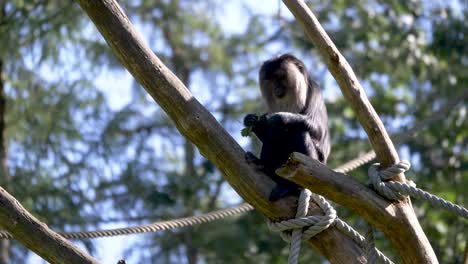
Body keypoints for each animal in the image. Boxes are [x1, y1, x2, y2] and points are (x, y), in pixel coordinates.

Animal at [245, 54, 330, 202]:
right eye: (272, 80)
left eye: (280, 78)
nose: (276, 88)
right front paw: (254, 121)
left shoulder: (315, 92)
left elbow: (317, 130)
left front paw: (279, 117)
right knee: (275, 133)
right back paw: (262, 165)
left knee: (299, 131)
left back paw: (290, 187)